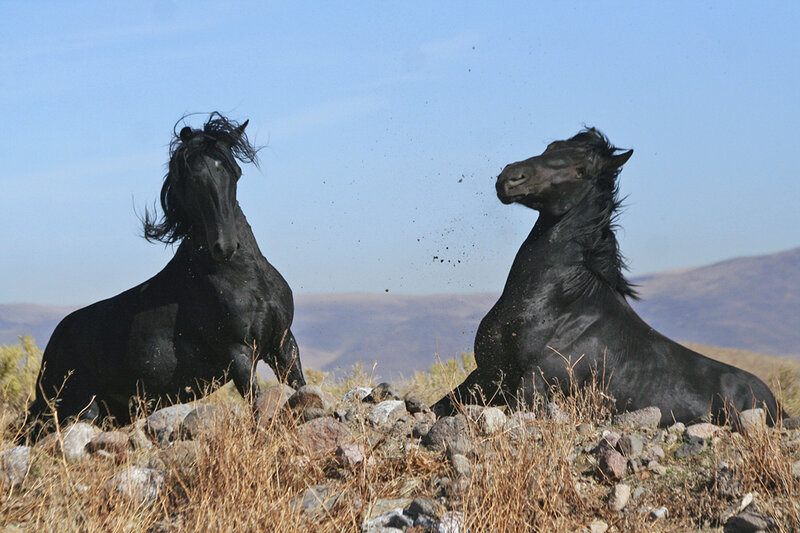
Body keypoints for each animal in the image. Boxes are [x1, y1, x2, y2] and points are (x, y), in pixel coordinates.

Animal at [26, 113, 306, 435]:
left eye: (235, 172)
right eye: (195, 177)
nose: (224, 246)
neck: (246, 279)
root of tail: (49, 353)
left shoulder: (283, 343)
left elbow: (300, 389)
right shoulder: (239, 352)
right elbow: (256, 405)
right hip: (80, 410)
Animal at [433, 128, 779, 426]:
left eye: (581, 169)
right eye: (551, 147)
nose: (512, 176)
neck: (553, 305)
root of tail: (774, 402)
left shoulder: (531, 386)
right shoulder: (488, 375)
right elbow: (440, 406)